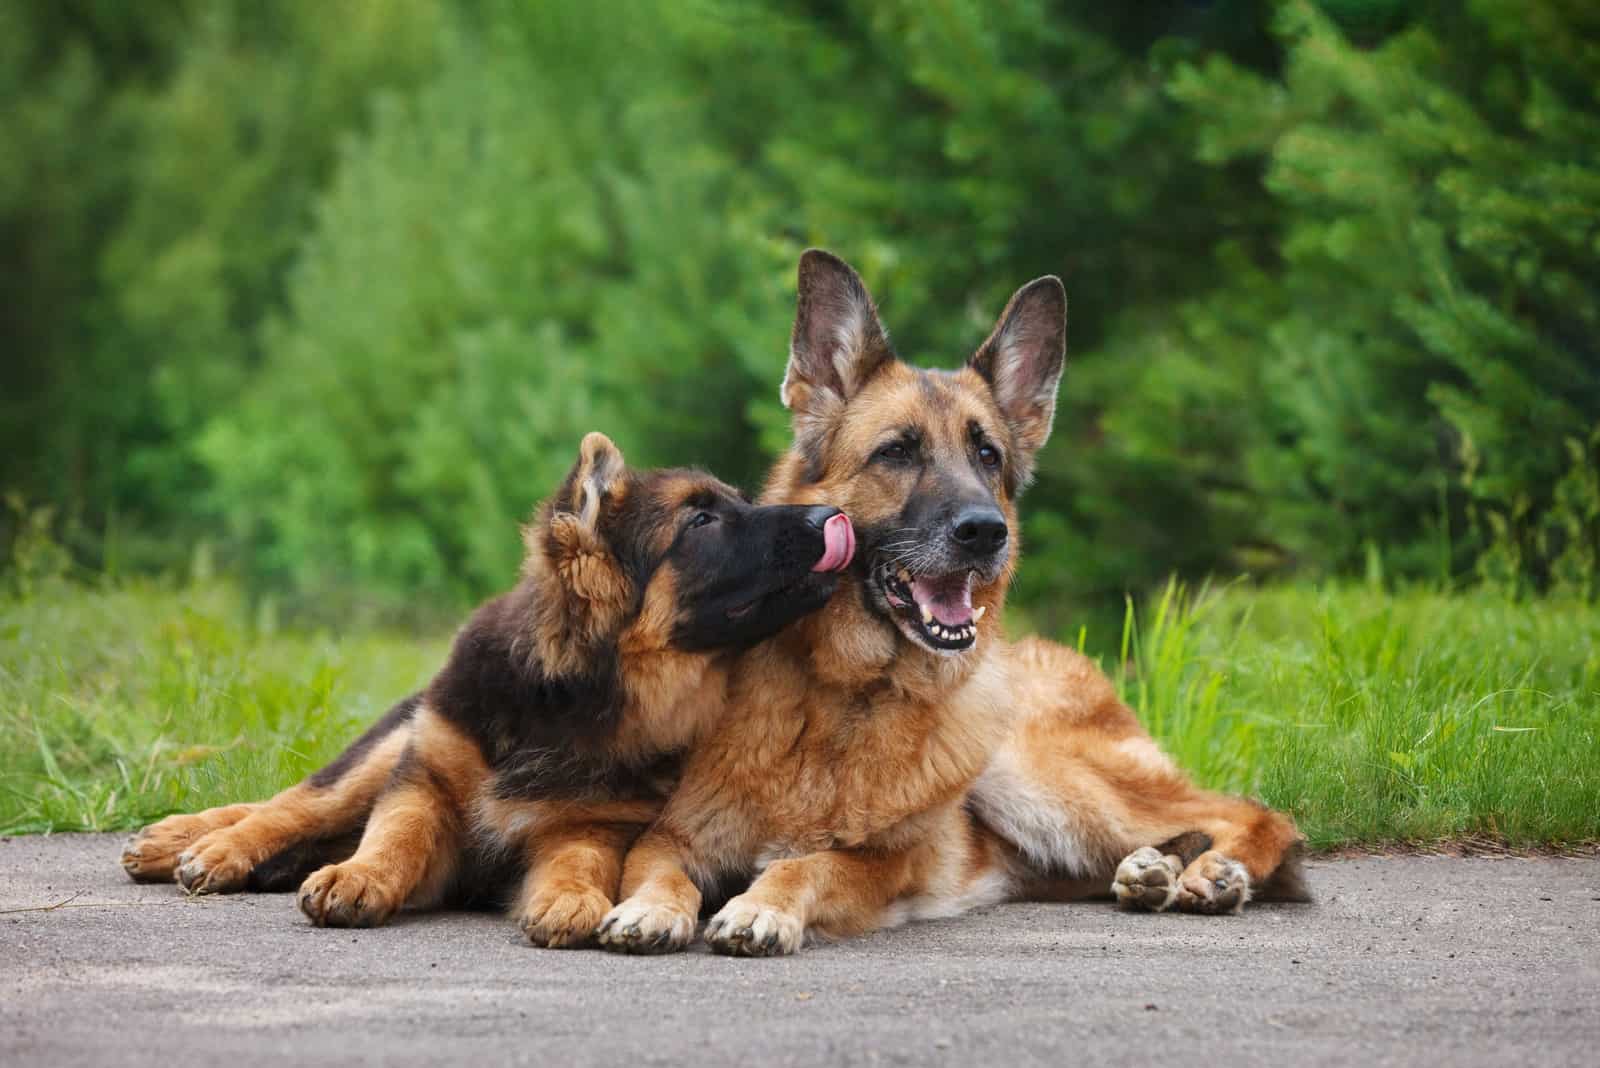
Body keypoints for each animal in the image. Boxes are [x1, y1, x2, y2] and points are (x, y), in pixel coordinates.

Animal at [124, 428, 857, 946]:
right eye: (701, 521)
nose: (827, 515)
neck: (572, 697)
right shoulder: (423, 779)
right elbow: (394, 835)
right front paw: (357, 878)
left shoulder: (591, 821)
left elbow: (578, 861)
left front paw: (569, 900)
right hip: (391, 748)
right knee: (291, 806)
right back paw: (196, 845)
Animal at [595, 252, 1305, 959]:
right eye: (897, 451)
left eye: (987, 455)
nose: (987, 532)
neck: (845, 698)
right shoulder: (669, 837)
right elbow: (660, 872)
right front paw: (650, 909)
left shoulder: (882, 862)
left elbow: (806, 864)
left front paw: (759, 907)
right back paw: (1152, 871)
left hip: (1036, 777)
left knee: (1257, 813)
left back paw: (1219, 871)